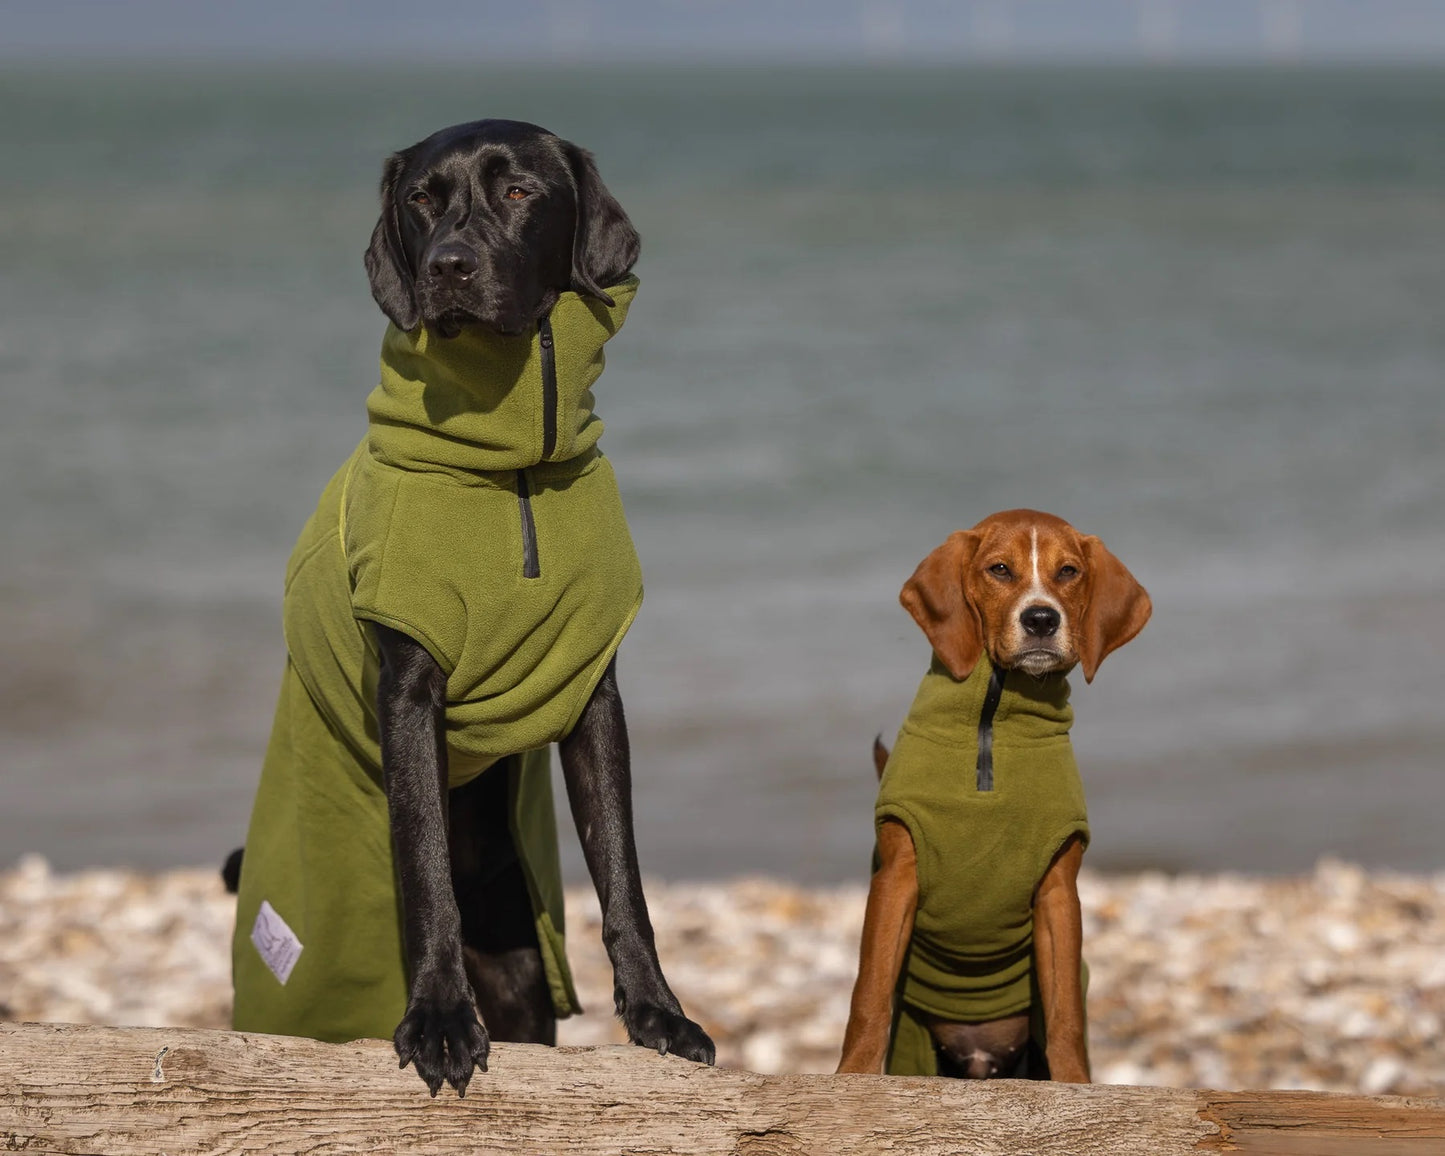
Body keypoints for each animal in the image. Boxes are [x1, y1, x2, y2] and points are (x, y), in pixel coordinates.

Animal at [228, 122, 713, 1098]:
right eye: (421, 199)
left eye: (520, 191)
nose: (448, 265)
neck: (513, 469)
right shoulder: (409, 691)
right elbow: (422, 867)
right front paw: (442, 1021)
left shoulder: (594, 697)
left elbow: (622, 872)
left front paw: (657, 1015)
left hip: (523, 967)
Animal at [838, 511, 1150, 1080]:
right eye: (999, 569)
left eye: (1069, 571)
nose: (1042, 619)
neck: (993, 713)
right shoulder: (896, 878)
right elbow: (868, 995)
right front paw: (852, 1076)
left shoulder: (1057, 891)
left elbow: (1067, 1014)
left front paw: (1075, 1085)